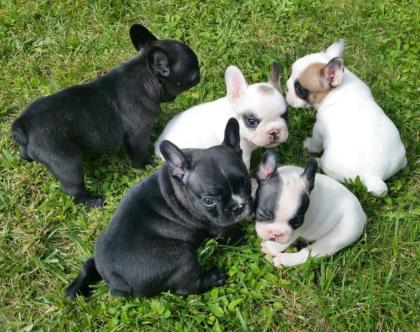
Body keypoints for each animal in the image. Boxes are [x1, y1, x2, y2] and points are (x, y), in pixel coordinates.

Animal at [10, 24, 199, 205]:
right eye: (195, 72)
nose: (200, 71)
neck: (144, 75)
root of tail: (24, 124)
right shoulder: (138, 133)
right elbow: (138, 152)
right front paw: (146, 165)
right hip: (65, 161)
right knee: (74, 190)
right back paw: (93, 201)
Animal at [65, 118, 253, 300]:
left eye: (246, 181)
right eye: (208, 201)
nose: (239, 207)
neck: (178, 187)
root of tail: (115, 281)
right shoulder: (215, 224)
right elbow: (229, 233)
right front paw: (243, 237)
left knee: (89, 265)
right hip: (182, 257)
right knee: (187, 288)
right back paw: (214, 277)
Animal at [286, 39, 406, 196]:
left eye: (299, 88)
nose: (286, 86)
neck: (338, 89)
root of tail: (375, 176)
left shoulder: (319, 128)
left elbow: (316, 142)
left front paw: (309, 145)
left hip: (330, 164)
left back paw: (315, 160)